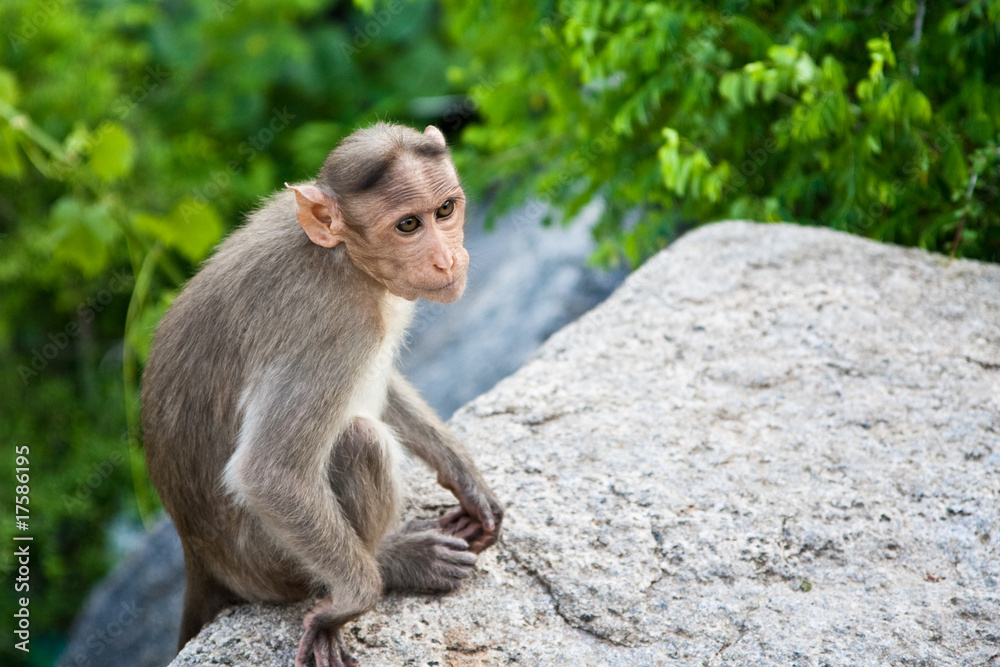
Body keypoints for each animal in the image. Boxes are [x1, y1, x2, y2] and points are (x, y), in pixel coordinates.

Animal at [141, 122, 503, 667]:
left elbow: (378, 385)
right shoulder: (331, 327)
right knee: (358, 440)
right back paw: (394, 560)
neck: (345, 257)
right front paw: (352, 603)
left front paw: (465, 477)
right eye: (408, 225)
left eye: (445, 210)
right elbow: (270, 473)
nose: (447, 259)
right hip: (273, 564)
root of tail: (199, 556)